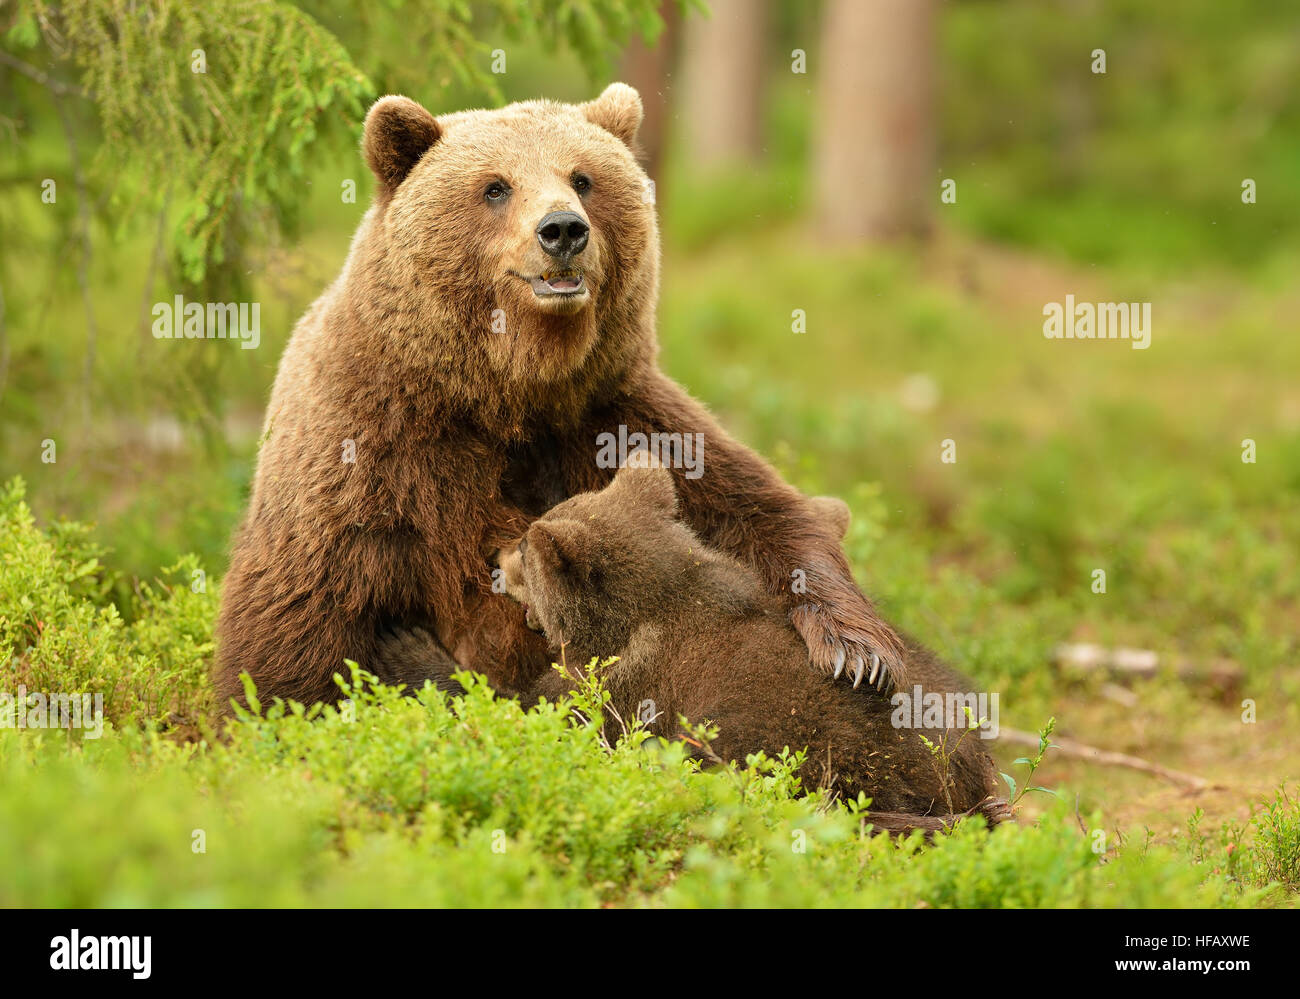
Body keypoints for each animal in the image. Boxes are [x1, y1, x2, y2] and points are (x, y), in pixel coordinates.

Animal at [215, 83, 909, 717]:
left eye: (583, 177)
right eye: (496, 187)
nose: (563, 230)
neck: (510, 391)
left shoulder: (614, 415)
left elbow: (756, 513)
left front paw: (858, 653)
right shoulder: (374, 447)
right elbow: (301, 606)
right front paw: (274, 711)